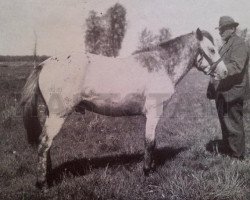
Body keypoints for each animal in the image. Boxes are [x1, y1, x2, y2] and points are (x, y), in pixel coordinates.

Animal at [20, 28, 228, 189]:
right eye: (211, 49)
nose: (225, 72)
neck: (161, 65)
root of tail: (44, 63)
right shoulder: (153, 112)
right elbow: (150, 142)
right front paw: (146, 172)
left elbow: (151, 141)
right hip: (58, 115)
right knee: (44, 143)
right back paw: (43, 184)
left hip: (47, 113)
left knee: (46, 145)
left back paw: (48, 175)